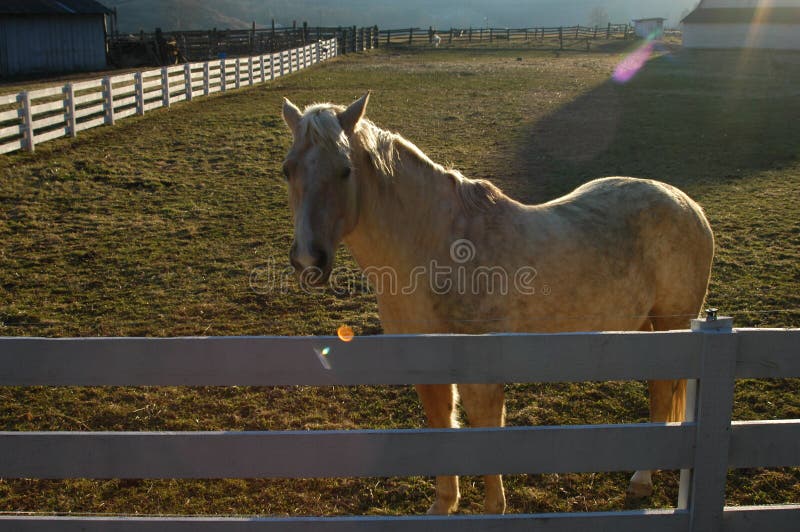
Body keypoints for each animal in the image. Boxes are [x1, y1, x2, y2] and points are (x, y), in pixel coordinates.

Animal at [280, 93, 712, 512]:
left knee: (663, 392)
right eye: (288, 170)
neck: (435, 249)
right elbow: (442, 428)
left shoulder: (482, 374)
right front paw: (444, 505)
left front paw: (492, 508)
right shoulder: (427, 369)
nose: (308, 260)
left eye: (345, 171)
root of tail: (687, 204)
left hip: (671, 324)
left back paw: (641, 479)